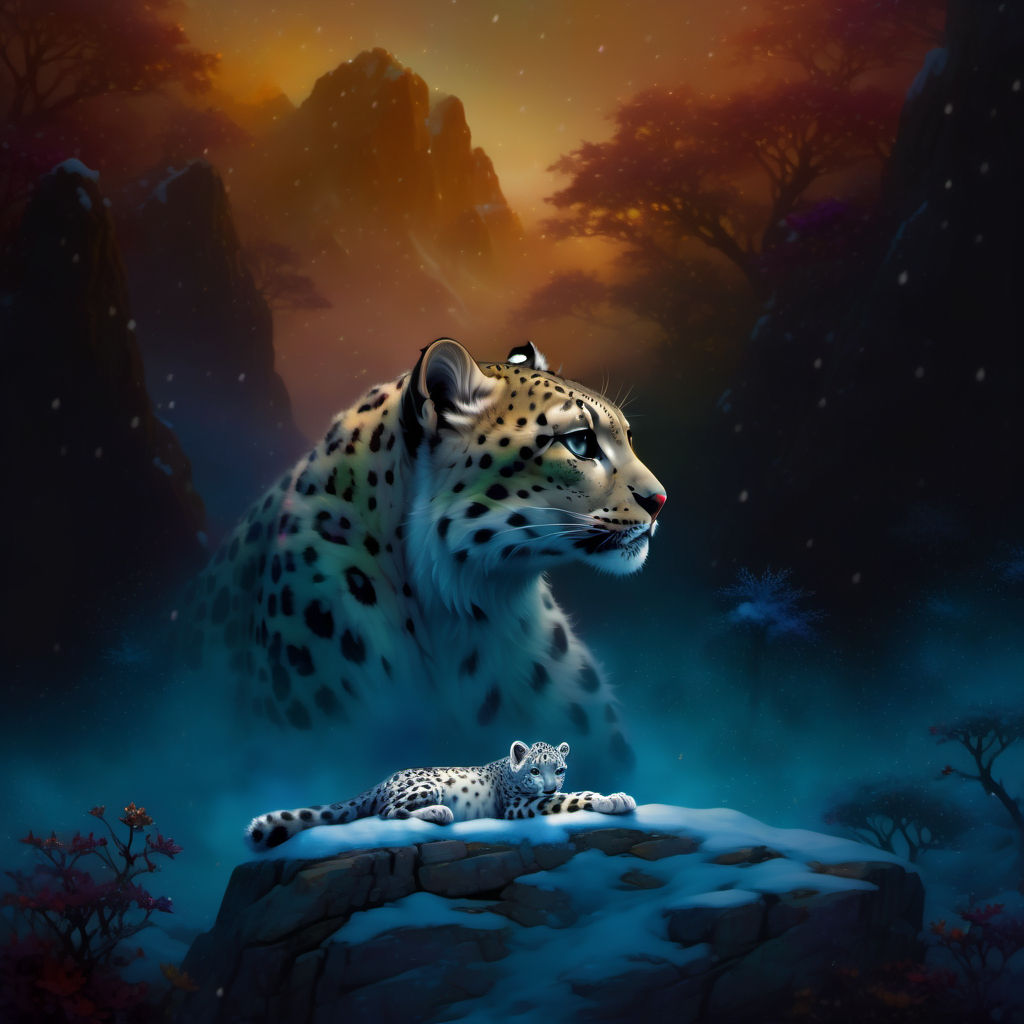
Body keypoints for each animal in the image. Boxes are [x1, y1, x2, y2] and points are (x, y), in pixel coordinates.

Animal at [245, 739, 637, 849]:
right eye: (535, 771)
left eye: (560, 769)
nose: (552, 785)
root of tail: (383, 780)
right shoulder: (520, 804)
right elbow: (574, 798)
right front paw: (614, 799)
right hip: (424, 787)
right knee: (388, 812)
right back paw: (439, 812)